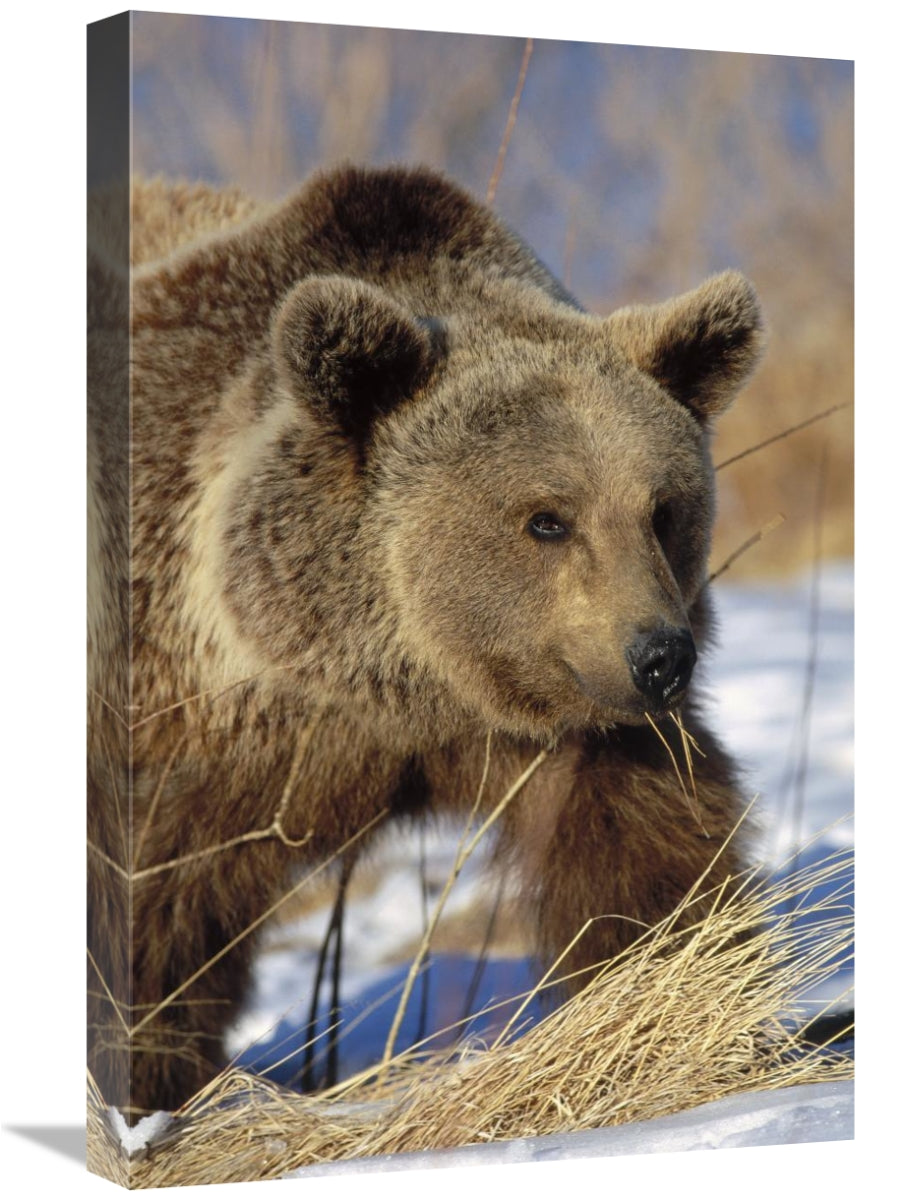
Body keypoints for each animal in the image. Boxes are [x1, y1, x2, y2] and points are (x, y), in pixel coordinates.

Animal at [87, 163, 764, 1120]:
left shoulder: (571, 734)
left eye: (662, 509)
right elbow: (152, 926)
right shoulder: (194, 733)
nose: (661, 656)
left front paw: (678, 1001)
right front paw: (150, 1087)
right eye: (546, 518)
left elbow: (648, 859)